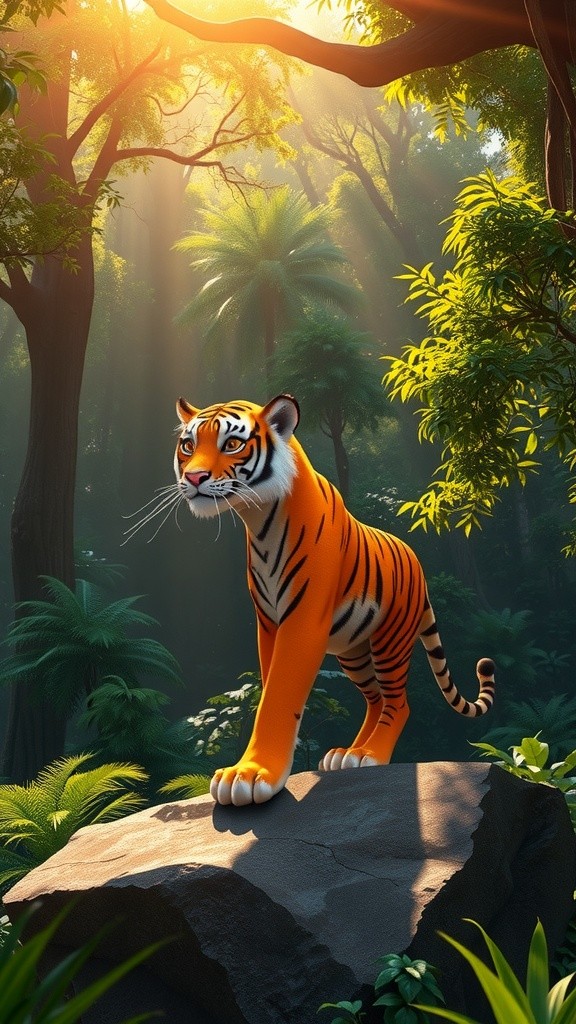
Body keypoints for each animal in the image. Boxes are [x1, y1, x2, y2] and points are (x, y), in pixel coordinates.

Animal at [175, 393, 495, 806]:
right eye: (188, 446)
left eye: (231, 443)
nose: (193, 478)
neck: (258, 520)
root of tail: (418, 565)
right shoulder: (268, 623)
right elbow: (270, 687)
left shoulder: (302, 620)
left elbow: (279, 693)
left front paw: (250, 774)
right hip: (353, 652)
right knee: (375, 700)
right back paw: (348, 754)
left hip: (390, 640)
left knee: (397, 702)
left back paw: (371, 754)